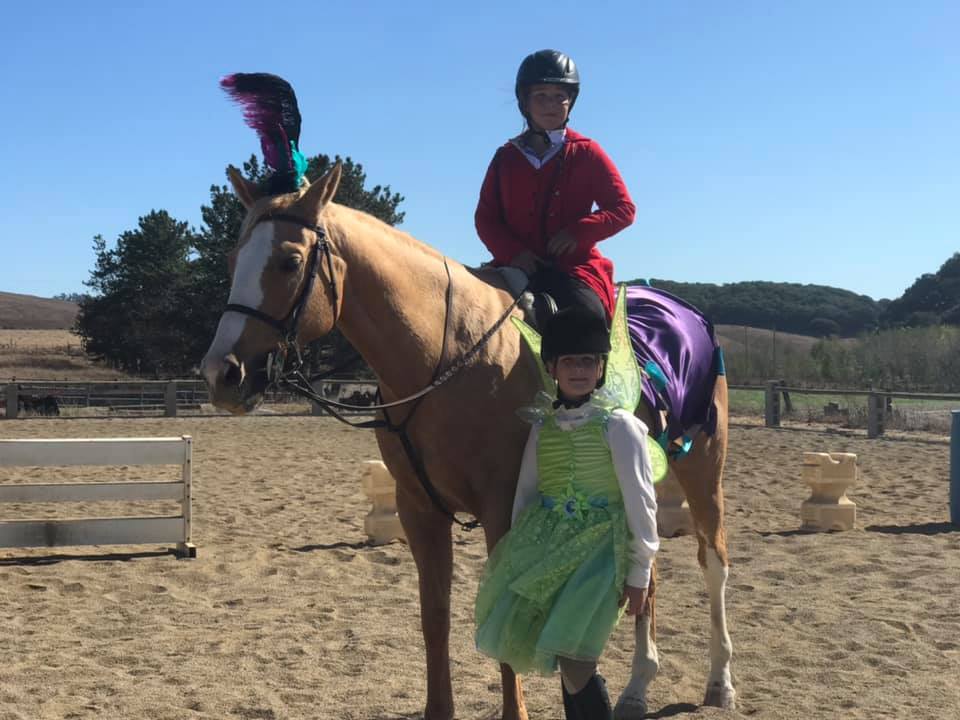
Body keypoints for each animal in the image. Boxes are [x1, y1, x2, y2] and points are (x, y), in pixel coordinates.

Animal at [200, 162, 736, 719]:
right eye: (234, 260)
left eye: (289, 261)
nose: (221, 374)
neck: (449, 354)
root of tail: (685, 312)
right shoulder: (419, 510)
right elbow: (434, 615)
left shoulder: (503, 509)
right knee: (644, 575)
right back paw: (637, 686)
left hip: (702, 468)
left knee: (713, 562)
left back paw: (719, 681)